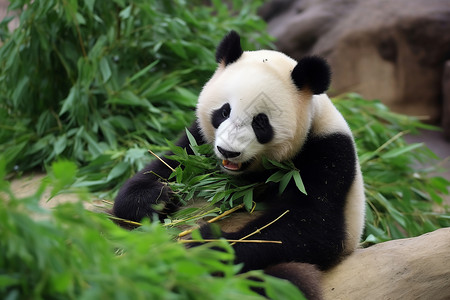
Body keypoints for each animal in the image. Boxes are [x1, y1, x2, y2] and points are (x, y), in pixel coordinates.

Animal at [113, 31, 366, 298]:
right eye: (224, 111)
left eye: (260, 122)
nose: (228, 151)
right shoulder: (198, 142)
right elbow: (163, 168)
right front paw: (157, 197)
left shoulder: (328, 153)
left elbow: (313, 226)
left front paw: (204, 243)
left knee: (283, 280)